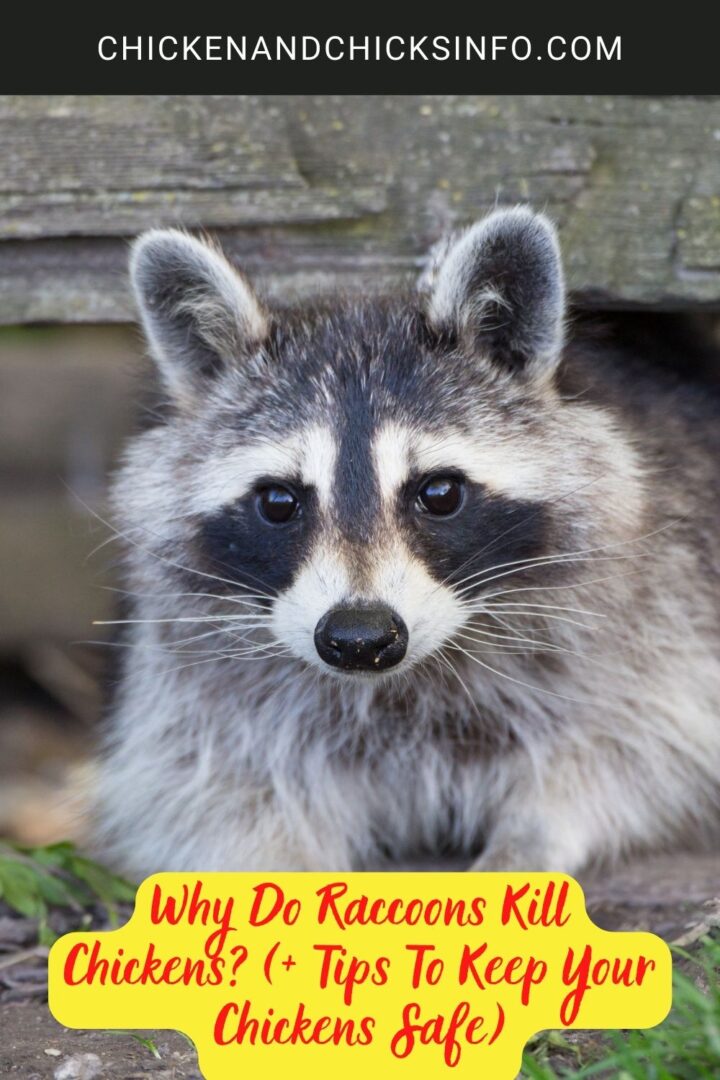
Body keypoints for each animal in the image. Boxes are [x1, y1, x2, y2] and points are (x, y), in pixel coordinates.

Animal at [96, 207, 720, 878]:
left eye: (439, 493)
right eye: (279, 503)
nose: (359, 639)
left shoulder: (659, 621)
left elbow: (629, 754)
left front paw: (529, 841)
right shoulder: (199, 697)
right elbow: (211, 790)